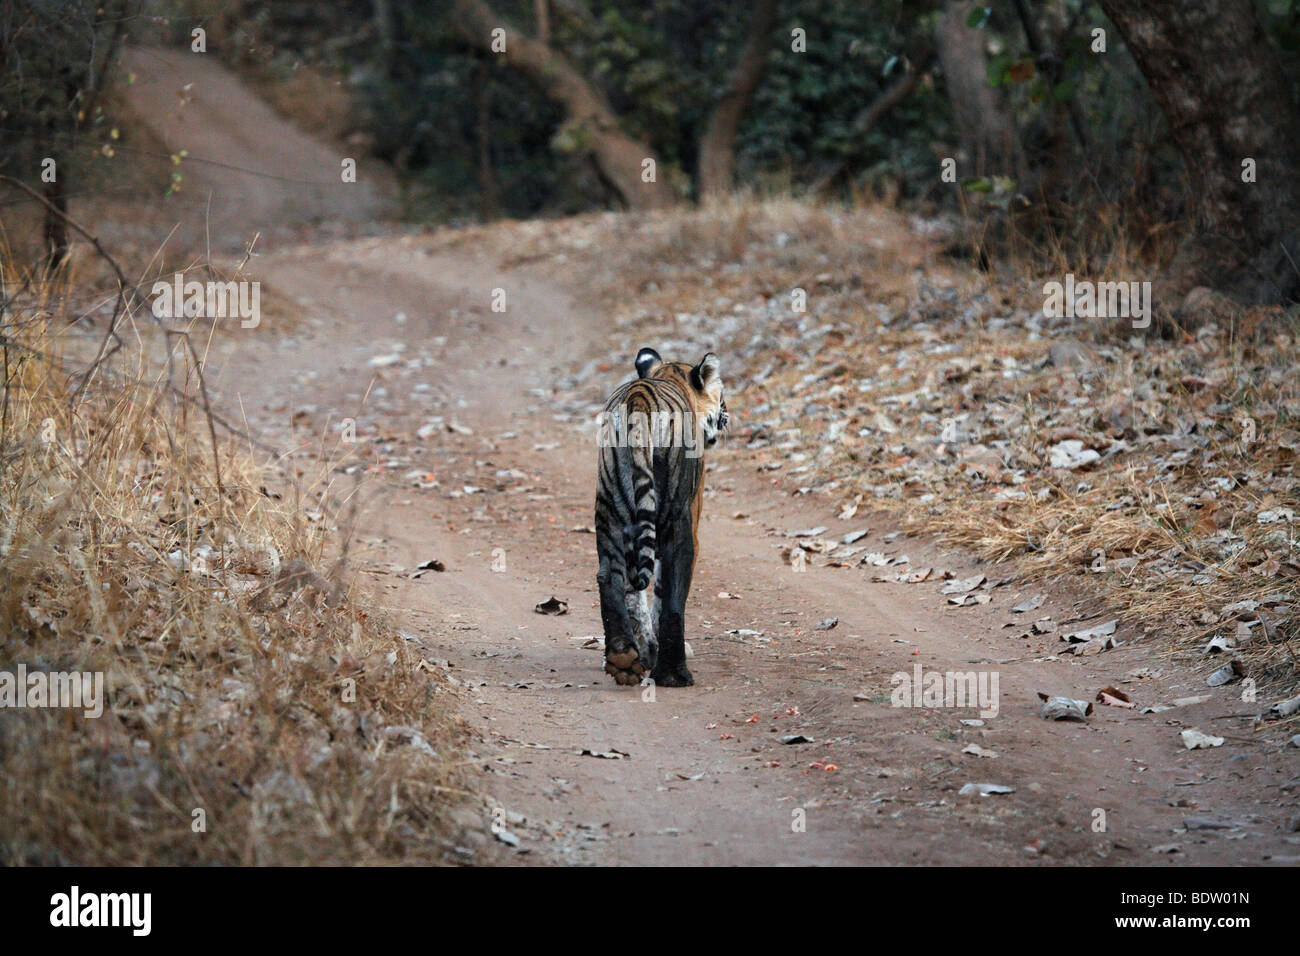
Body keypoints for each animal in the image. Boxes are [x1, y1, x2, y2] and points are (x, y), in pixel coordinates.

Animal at [595, 348, 728, 686]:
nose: (727, 414)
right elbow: (662, 596)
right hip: (676, 518)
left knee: (610, 576)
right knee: (672, 598)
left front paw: (643, 652)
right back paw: (674, 673)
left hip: (609, 508)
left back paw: (621, 658)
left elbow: (636, 596)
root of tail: (639, 396)